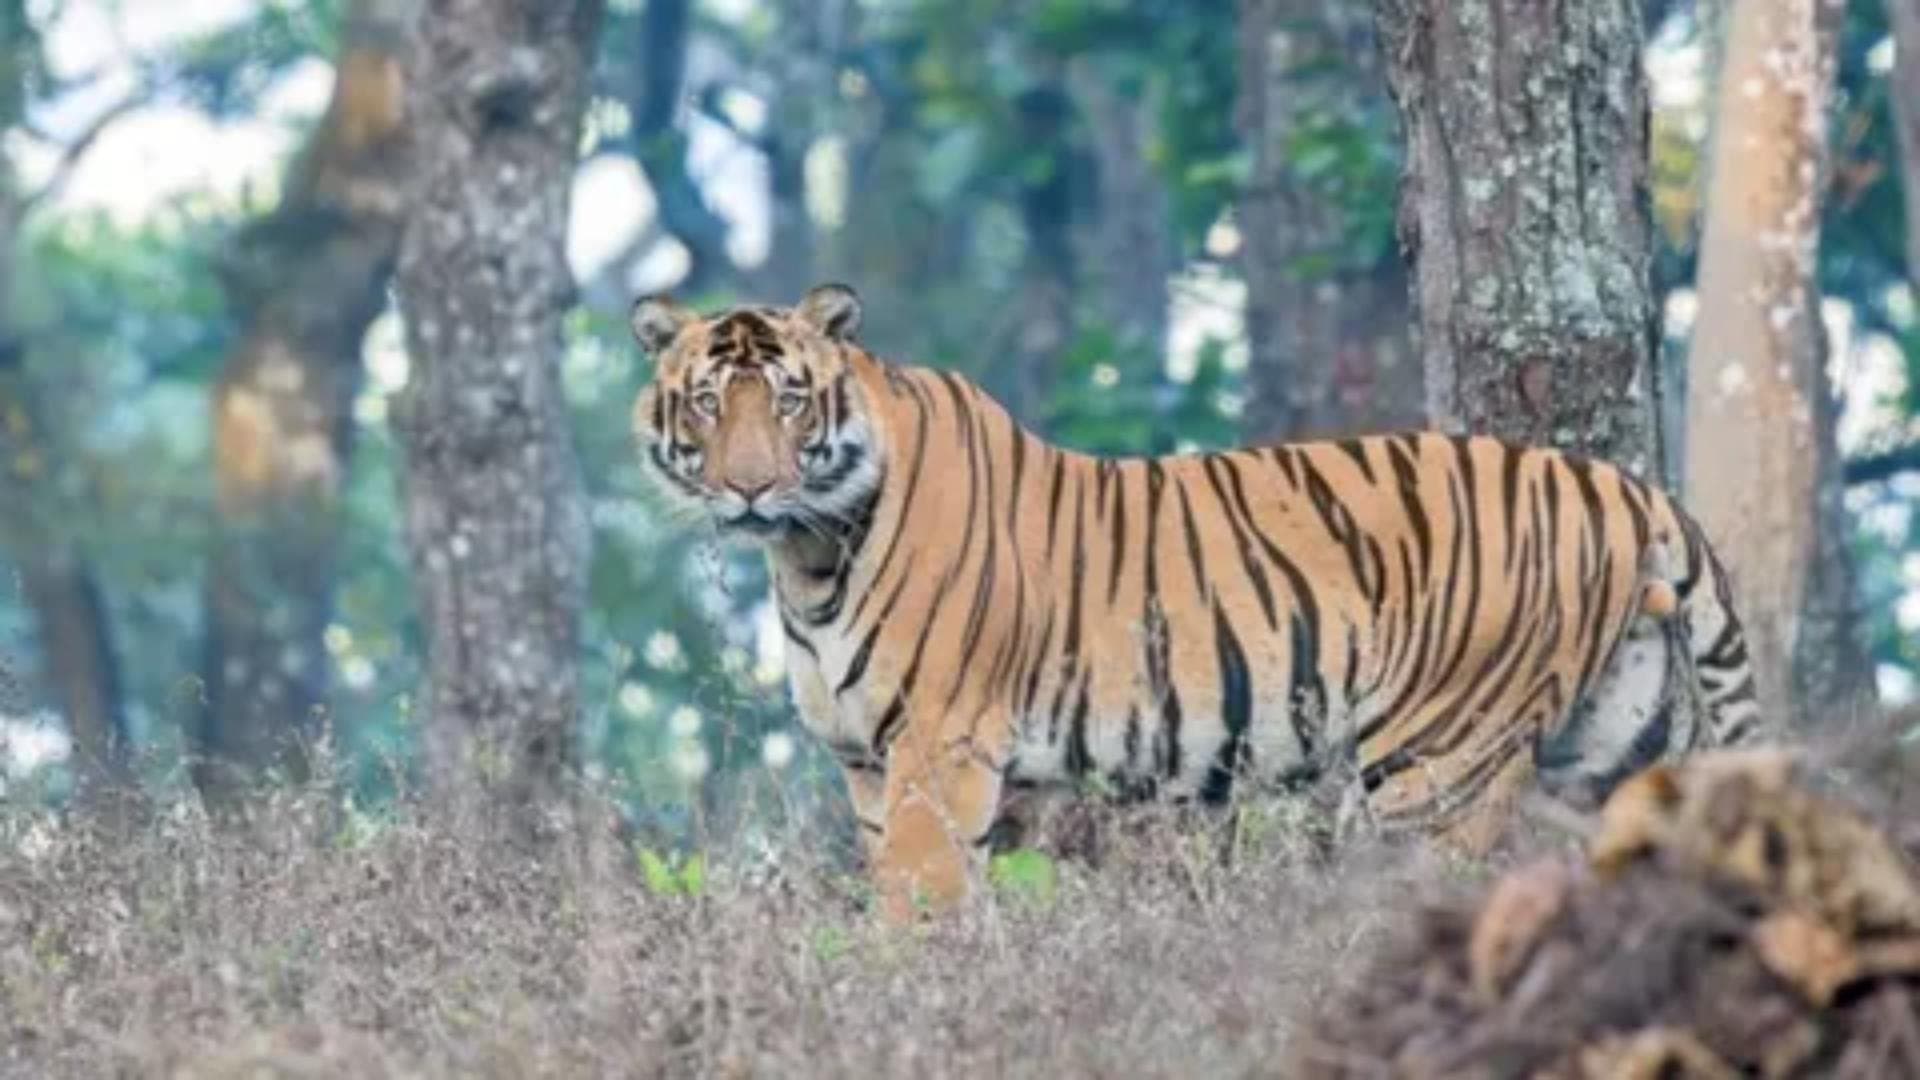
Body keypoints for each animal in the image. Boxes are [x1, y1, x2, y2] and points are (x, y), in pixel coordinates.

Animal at [629, 282, 1761, 921]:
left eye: (788, 401)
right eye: (706, 402)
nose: (749, 487)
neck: (809, 552)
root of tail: (1619, 485)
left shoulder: (935, 752)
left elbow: (921, 903)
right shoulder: (868, 763)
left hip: (1436, 767)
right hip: (1616, 746)